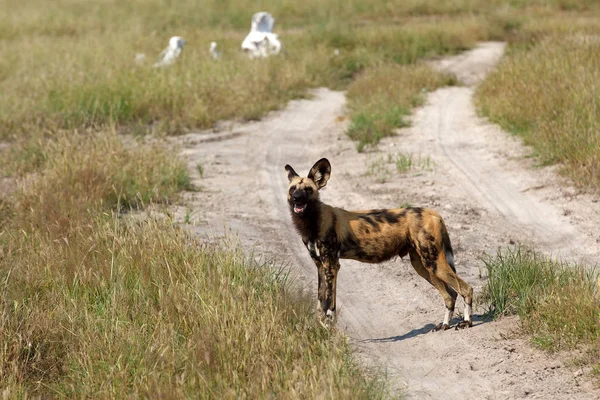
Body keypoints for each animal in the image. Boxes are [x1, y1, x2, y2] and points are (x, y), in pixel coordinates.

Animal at [286, 158, 474, 330]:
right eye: (293, 189)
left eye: (308, 189)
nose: (296, 198)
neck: (313, 222)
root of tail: (432, 213)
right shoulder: (320, 265)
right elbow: (320, 302)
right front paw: (318, 327)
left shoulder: (331, 266)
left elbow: (329, 304)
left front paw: (327, 328)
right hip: (424, 267)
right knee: (450, 295)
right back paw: (445, 324)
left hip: (434, 264)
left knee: (466, 289)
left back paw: (466, 322)